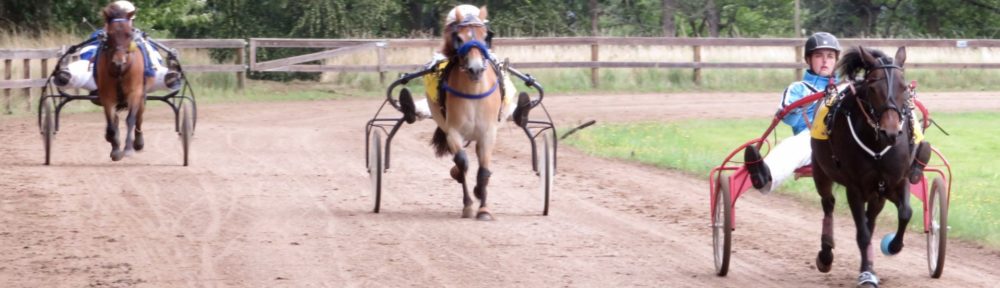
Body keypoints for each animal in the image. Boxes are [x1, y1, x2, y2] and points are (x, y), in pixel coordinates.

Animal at [96, 1, 151, 161]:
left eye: (129, 33)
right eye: (109, 34)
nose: (118, 62)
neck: (120, 71)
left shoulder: (135, 92)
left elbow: (130, 119)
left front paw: (128, 148)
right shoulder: (107, 96)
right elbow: (111, 123)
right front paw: (115, 147)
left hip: (141, 96)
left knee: (139, 117)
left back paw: (138, 142)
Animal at [430, 6, 508, 220]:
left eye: (485, 36)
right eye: (459, 37)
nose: (475, 69)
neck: (473, 92)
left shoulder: (488, 133)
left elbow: (483, 171)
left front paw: (484, 208)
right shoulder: (453, 132)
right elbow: (463, 163)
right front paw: (468, 205)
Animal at [808, 46, 916, 286]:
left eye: (904, 87)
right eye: (873, 86)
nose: (890, 132)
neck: (877, 144)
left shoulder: (895, 180)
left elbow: (905, 212)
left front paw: (894, 246)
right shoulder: (855, 188)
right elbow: (863, 233)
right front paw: (867, 273)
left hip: (878, 193)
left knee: (871, 218)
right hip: (820, 171)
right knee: (828, 203)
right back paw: (826, 253)